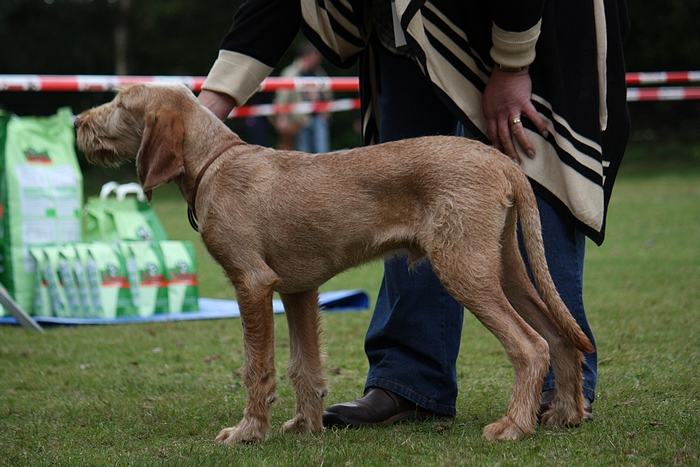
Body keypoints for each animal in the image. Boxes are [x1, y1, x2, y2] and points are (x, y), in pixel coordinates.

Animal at [74, 83, 594, 443]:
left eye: (120, 103)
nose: (77, 120)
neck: (215, 163)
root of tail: (502, 161)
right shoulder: (297, 291)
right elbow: (304, 366)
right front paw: (305, 426)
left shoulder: (252, 284)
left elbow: (256, 368)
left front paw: (248, 433)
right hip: (504, 267)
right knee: (559, 336)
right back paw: (565, 415)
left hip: (464, 269)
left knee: (530, 346)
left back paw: (514, 426)